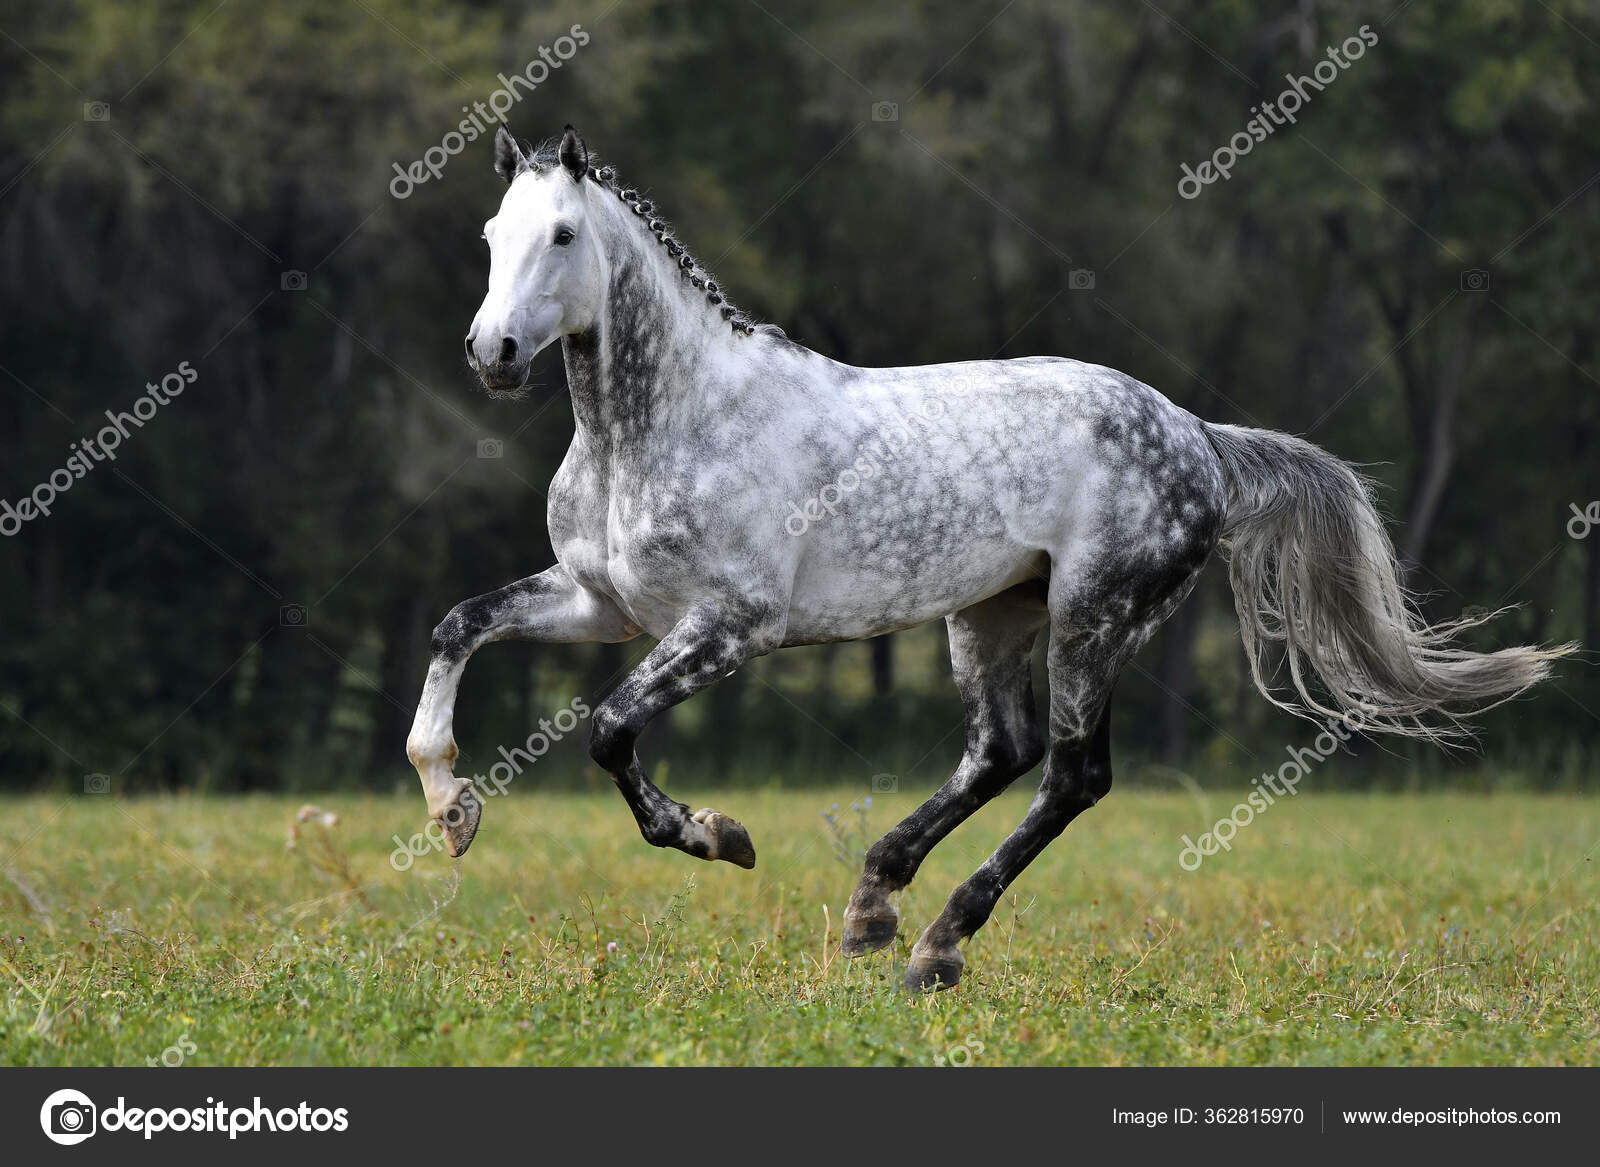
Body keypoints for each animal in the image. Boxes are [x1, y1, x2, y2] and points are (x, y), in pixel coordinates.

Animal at [406, 125, 1571, 991]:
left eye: (562, 234)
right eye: (492, 231)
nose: (490, 355)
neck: (662, 426)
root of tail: (1197, 434)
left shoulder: (729, 626)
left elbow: (608, 731)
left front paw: (719, 835)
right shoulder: (601, 604)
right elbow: (458, 626)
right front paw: (451, 811)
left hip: (1094, 616)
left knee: (1070, 775)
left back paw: (935, 944)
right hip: (992, 612)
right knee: (999, 751)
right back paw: (874, 905)